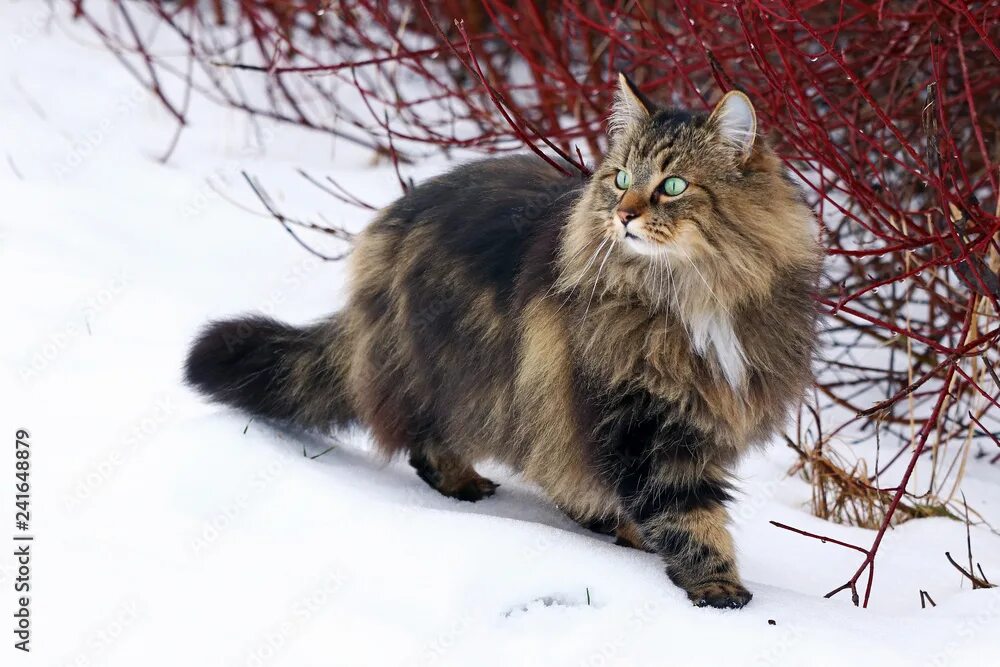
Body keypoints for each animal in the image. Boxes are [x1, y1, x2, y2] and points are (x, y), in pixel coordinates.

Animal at [186, 74, 820, 612]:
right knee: (430, 441)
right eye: (620, 179)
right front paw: (716, 584)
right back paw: (469, 485)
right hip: (451, 374)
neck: (689, 296)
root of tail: (385, 229)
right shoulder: (639, 420)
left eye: (672, 186)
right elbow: (686, 515)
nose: (623, 215)